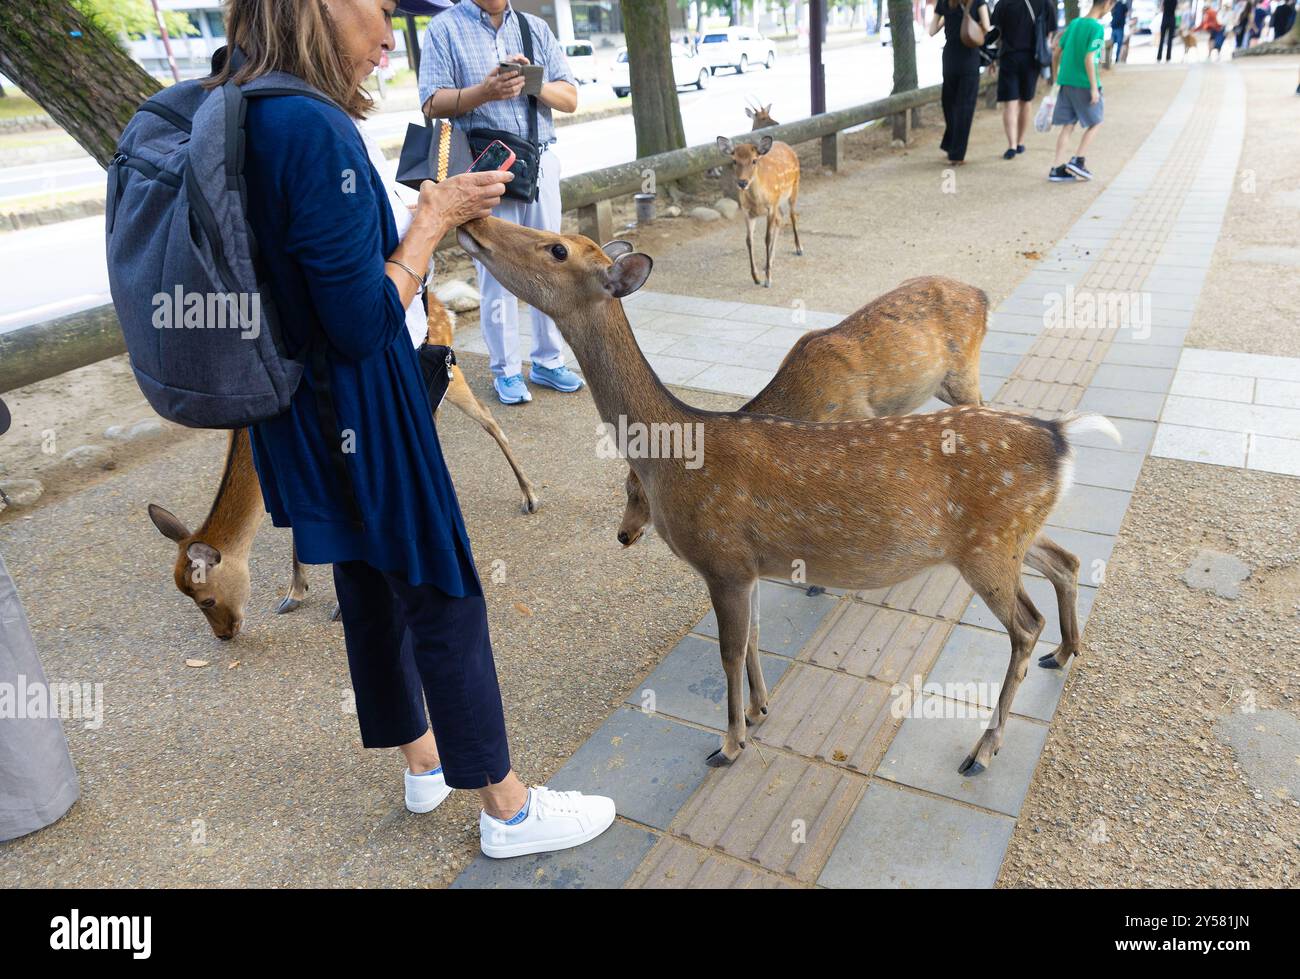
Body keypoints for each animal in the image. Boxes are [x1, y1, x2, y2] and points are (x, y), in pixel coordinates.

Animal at [149, 293, 540, 637]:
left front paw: (338, 604)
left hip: (447, 380)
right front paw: (293, 594)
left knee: (489, 419)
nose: (225, 635)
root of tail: (447, 310)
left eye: (206, 598)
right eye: (188, 597)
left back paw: (530, 497)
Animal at [618, 275, 982, 551]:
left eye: (644, 492)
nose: (623, 534)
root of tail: (982, 295)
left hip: (964, 370)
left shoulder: (859, 418)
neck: (808, 406)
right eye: (626, 487)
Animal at [717, 133, 795, 288]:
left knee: (793, 215)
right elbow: (749, 240)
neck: (757, 201)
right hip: (778, 203)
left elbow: (767, 238)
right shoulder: (747, 211)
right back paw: (769, 262)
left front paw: (768, 280)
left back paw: (799, 248)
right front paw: (756, 277)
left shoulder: (770, 207)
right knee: (781, 218)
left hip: (794, 187)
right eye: (734, 160)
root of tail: (787, 145)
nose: (742, 182)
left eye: (754, 160)